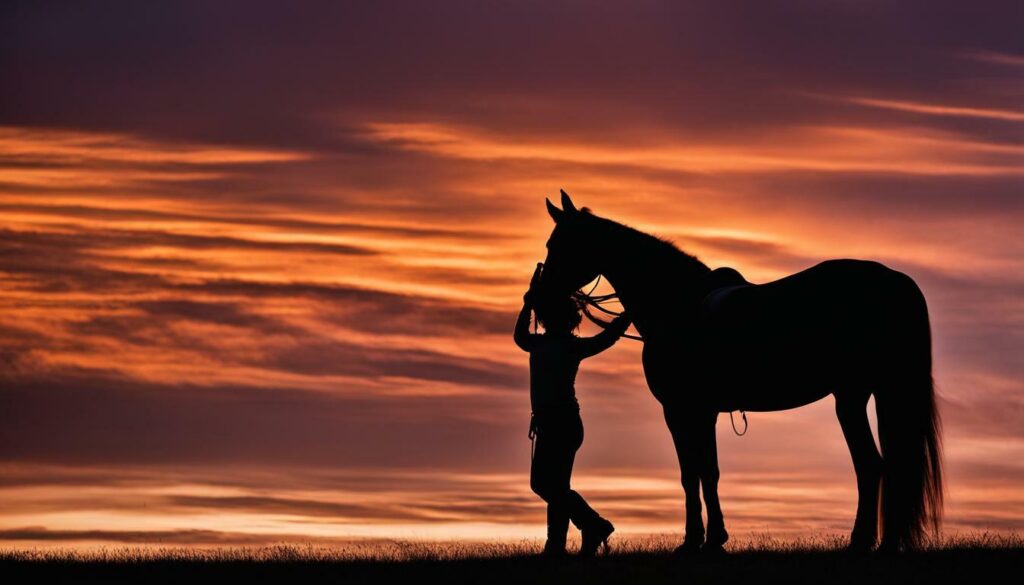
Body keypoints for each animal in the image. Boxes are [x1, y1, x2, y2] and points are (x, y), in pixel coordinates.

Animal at [536, 190, 943, 554]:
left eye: (558, 245)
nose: (540, 298)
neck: (678, 303)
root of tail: (894, 282)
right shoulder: (705, 413)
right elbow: (708, 472)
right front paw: (713, 539)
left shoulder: (680, 410)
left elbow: (691, 474)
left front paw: (693, 541)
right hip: (871, 393)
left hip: (852, 396)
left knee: (871, 465)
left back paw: (863, 542)